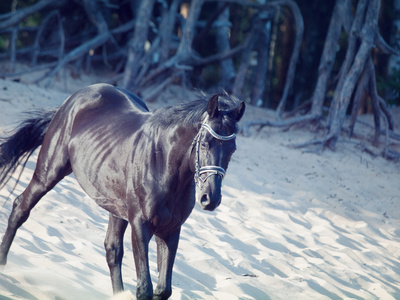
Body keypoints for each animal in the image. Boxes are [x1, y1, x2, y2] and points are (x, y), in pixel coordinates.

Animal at [0, 83, 244, 298]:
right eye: (204, 143)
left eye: (232, 150)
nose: (210, 199)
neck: (163, 165)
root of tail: (76, 97)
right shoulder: (141, 225)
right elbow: (145, 288)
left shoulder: (171, 230)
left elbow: (163, 289)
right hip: (49, 172)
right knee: (20, 207)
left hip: (115, 207)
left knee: (112, 249)